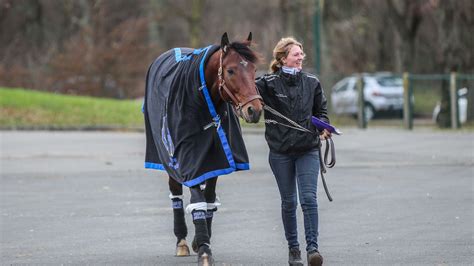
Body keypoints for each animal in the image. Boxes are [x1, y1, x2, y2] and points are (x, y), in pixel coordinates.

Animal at [143, 32, 264, 264]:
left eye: (254, 70)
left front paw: (201, 241)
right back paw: (181, 240)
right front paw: (204, 250)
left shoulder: (215, 161)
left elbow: (208, 199)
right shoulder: (190, 161)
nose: (254, 110)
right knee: (176, 193)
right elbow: (197, 199)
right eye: (231, 70)